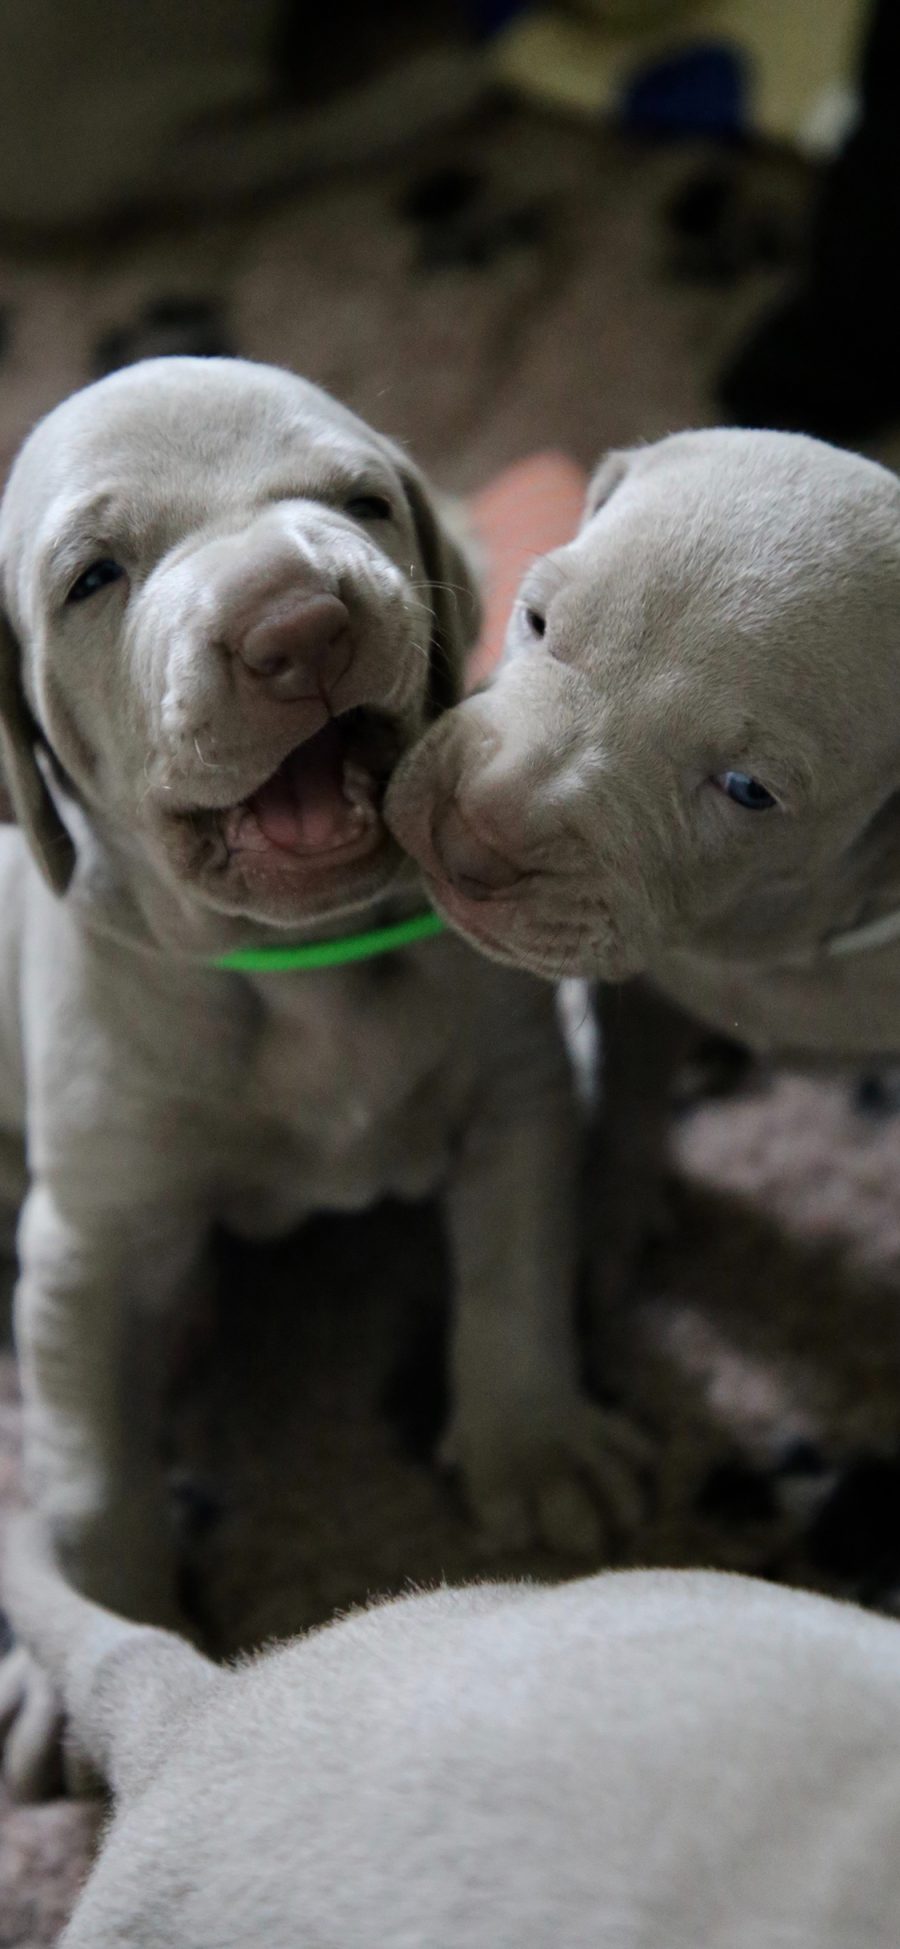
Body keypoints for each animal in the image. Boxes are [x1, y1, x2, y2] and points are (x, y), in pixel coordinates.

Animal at [0, 354, 638, 1793]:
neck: (303, 968)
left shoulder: (517, 1092)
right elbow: (87, 1460)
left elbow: (512, 1271)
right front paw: (93, 1641)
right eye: (92, 577)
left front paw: (531, 1442)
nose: (297, 626)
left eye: (360, 502)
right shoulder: (87, 1242)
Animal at [387, 430, 900, 1309]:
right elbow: (628, 1094)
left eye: (748, 789)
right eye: (535, 618)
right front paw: (606, 1236)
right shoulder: (647, 1000)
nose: (468, 843)